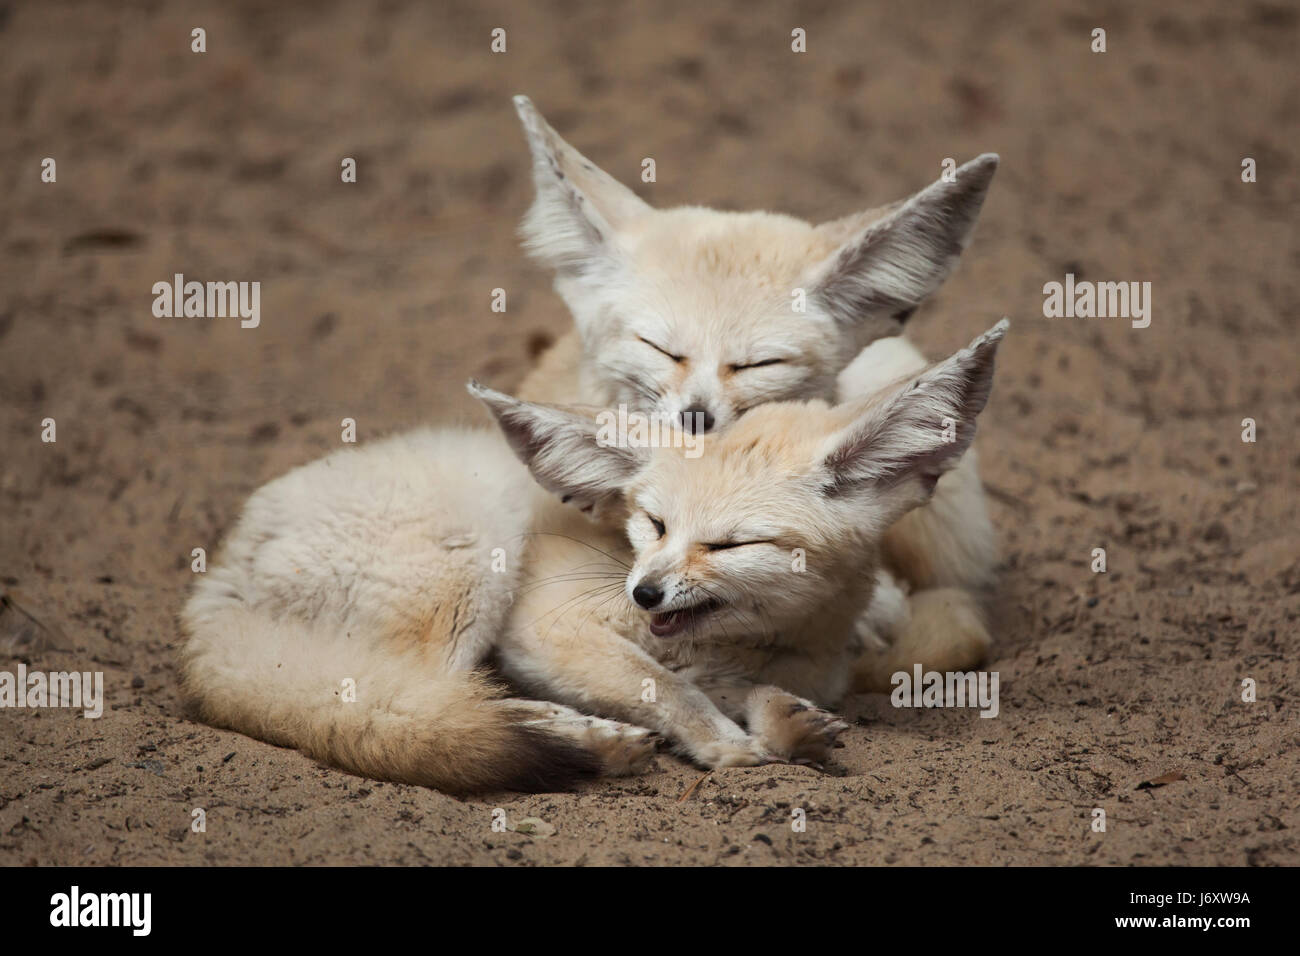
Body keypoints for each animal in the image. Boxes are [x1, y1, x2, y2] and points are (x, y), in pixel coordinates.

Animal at [180, 325, 1003, 796]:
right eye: (654, 523)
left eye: (732, 544)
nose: (645, 593)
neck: (766, 640)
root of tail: (213, 584)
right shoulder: (549, 629)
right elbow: (666, 689)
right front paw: (727, 748)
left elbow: (739, 690)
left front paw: (786, 725)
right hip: (478, 555)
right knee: (422, 701)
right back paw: (583, 743)